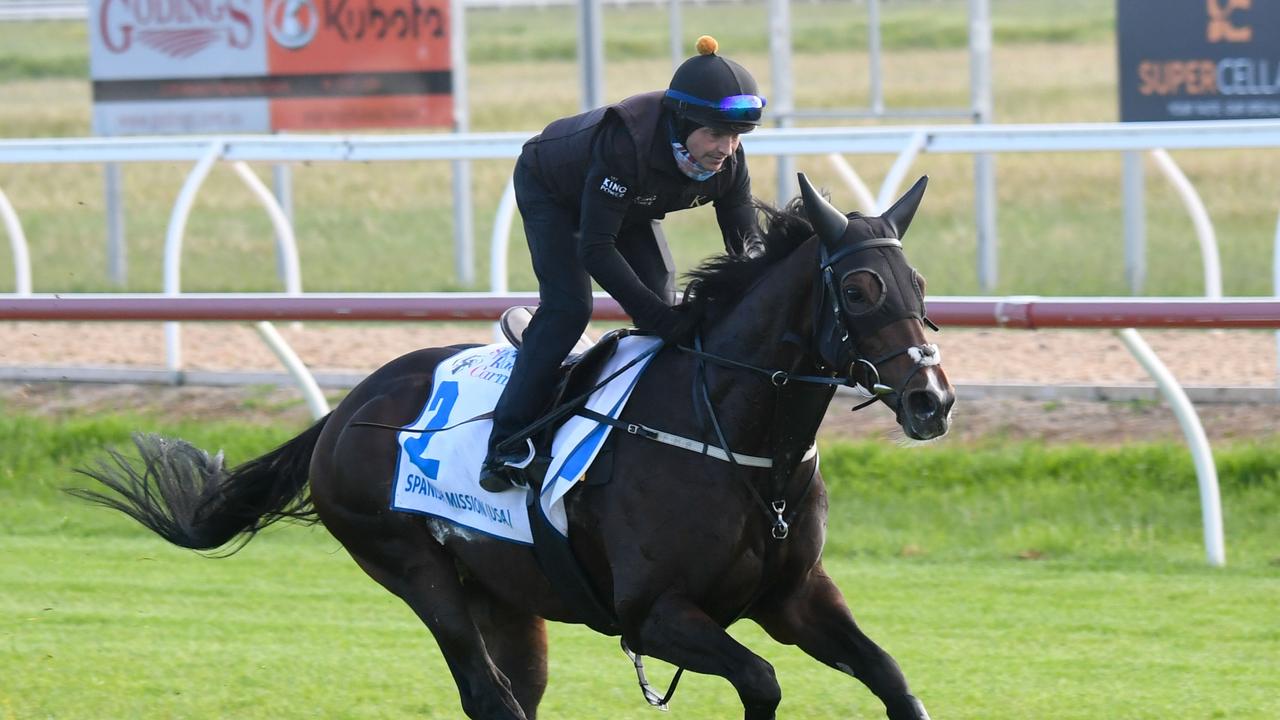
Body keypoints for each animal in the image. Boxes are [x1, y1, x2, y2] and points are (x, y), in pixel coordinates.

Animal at [72, 174, 952, 717]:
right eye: (860, 289)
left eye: (921, 288)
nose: (932, 400)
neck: (738, 444)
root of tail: (346, 409)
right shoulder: (655, 614)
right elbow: (763, 682)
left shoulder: (794, 597)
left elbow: (894, 680)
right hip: (413, 568)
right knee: (488, 695)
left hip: (504, 594)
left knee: (513, 695)